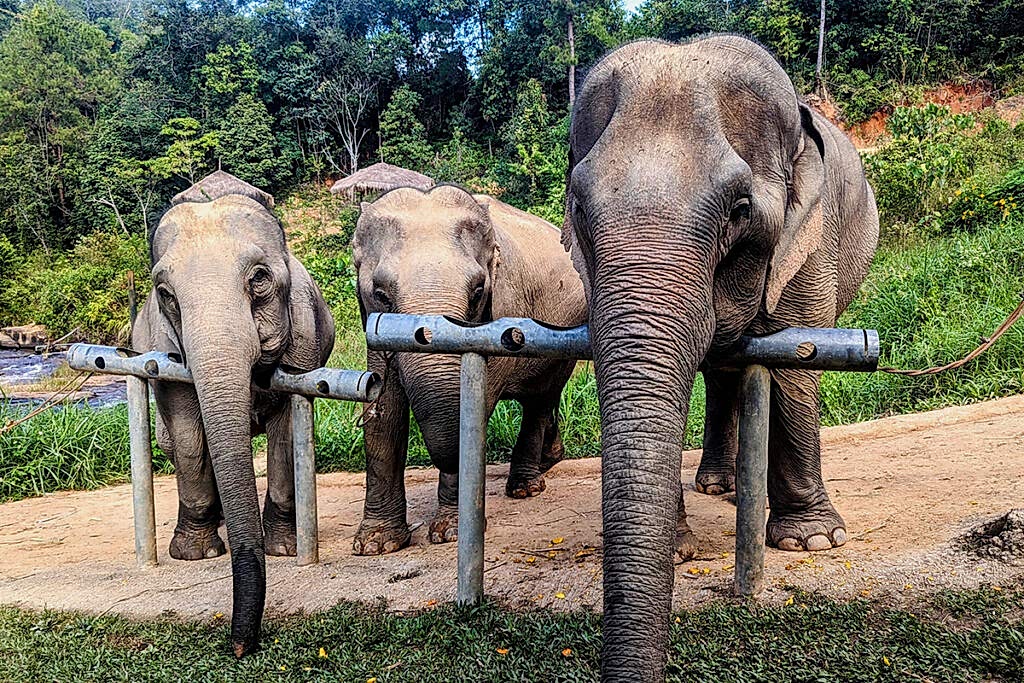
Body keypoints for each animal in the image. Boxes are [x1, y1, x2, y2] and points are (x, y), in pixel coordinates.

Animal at [132, 170, 335, 656]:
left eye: (259, 279)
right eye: (165, 295)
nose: (240, 647)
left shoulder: (304, 336)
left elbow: (285, 434)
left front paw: (283, 549)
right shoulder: (164, 343)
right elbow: (188, 432)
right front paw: (194, 555)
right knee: (175, 443)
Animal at [351, 184, 587, 554]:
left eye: (477, 292)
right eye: (380, 294)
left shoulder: (504, 308)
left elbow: (473, 402)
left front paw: (450, 532)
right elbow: (383, 409)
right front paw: (375, 544)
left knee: (540, 399)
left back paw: (525, 488)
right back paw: (550, 459)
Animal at [563, 36, 879, 679]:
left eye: (739, 208)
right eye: (579, 208)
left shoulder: (811, 241)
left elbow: (797, 361)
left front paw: (812, 542)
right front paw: (680, 548)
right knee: (721, 370)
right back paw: (720, 484)